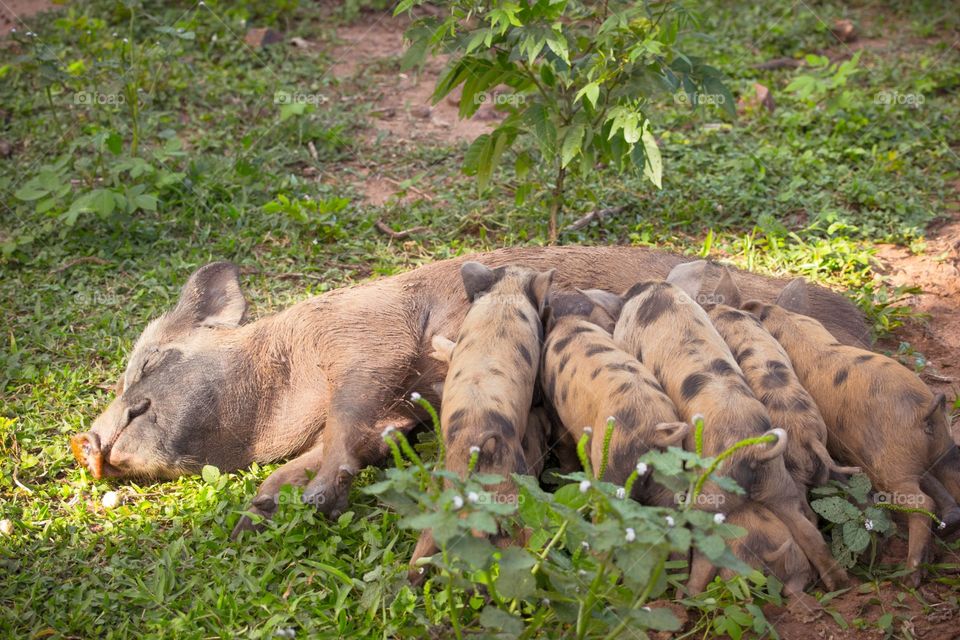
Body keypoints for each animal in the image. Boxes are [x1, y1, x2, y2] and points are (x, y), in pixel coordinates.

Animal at [540, 291, 688, 504]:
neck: (571, 322)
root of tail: (655, 434)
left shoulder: (554, 408)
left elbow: (564, 446)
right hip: (669, 477)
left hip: (610, 465)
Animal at [742, 277, 960, 581]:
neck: (786, 322)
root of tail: (923, 411)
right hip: (942, 448)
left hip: (893, 465)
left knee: (922, 503)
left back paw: (909, 575)